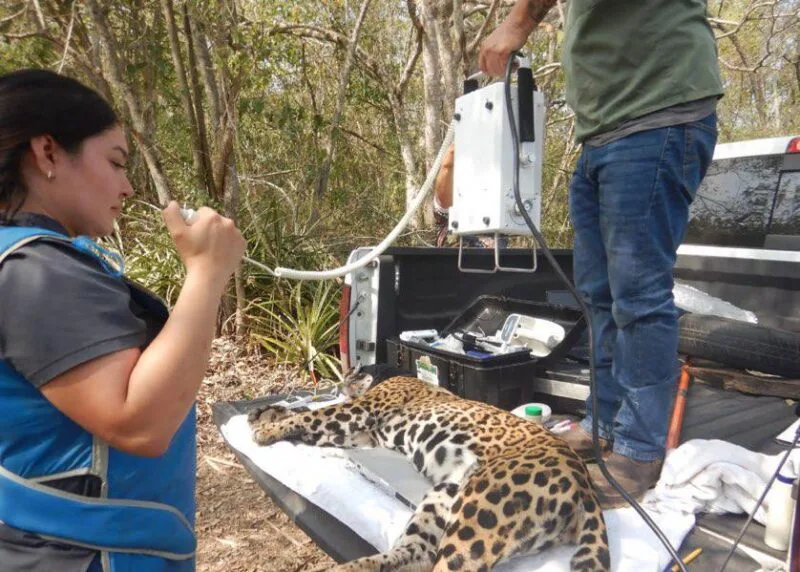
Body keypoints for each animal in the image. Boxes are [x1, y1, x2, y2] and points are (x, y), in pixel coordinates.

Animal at [248, 365, 610, 572]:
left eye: (357, 372)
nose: (340, 381)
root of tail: (586, 487)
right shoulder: (358, 434)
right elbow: (309, 418)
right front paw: (266, 414)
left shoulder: (359, 412)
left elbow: (315, 414)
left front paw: (267, 428)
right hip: (444, 496)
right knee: (416, 553)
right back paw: (350, 569)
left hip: (478, 517)